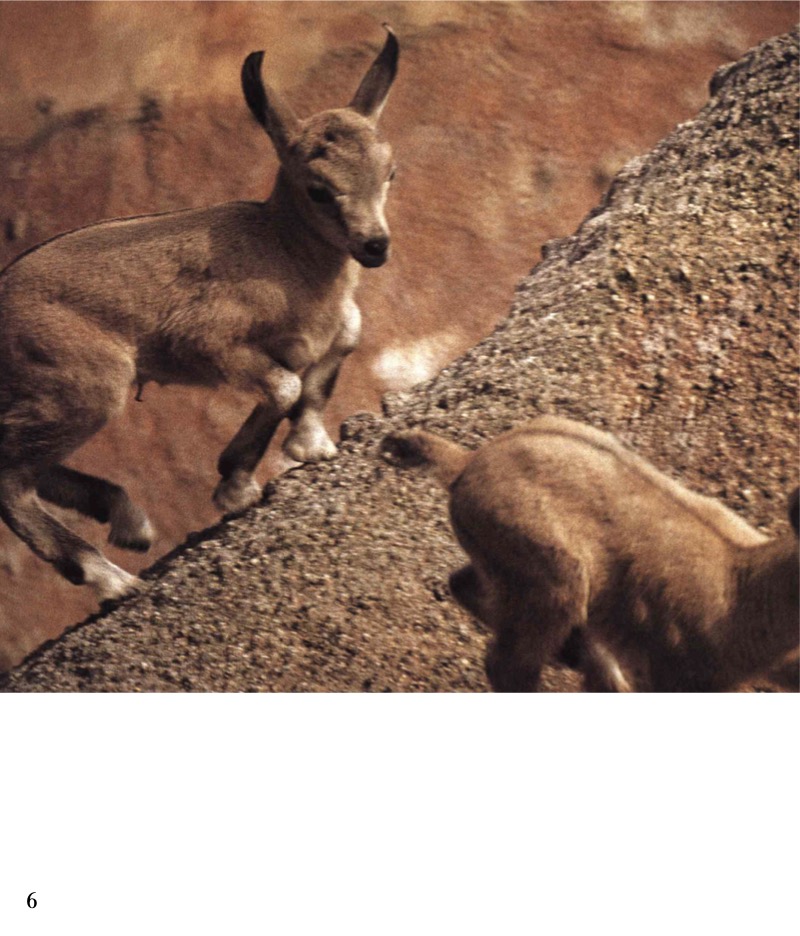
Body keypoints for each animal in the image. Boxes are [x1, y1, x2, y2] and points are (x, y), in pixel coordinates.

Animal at [0, 27, 399, 601]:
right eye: (319, 189)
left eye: (390, 172)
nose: (374, 246)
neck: (286, 257)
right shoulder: (208, 343)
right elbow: (286, 386)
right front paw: (236, 486)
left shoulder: (335, 333)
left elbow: (319, 372)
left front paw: (305, 448)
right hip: (85, 387)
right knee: (10, 477)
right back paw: (112, 577)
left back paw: (130, 523)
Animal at [384, 417, 799, 692]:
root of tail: (467, 460)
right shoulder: (673, 674)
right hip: (556, 578)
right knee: (506, 663)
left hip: (512, 571)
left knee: (463, 584)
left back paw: (571, 651)